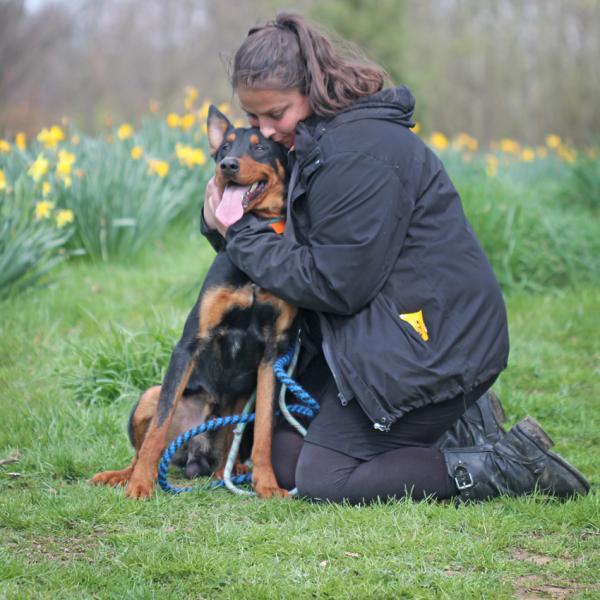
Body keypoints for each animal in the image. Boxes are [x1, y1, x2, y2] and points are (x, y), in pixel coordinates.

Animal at [91, 105, 296, 500]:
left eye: (260, 147)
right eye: (224, 148)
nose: (228, 165)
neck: (256, 237)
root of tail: (194, 453)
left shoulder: (273, 353)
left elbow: (264, 429)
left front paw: (267, 484)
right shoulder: (191, 343)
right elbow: (159, 427)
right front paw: (140, 486)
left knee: (231, 442)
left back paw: (233, 471)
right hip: (149, 395)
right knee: (144, 446)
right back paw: (123, 475)